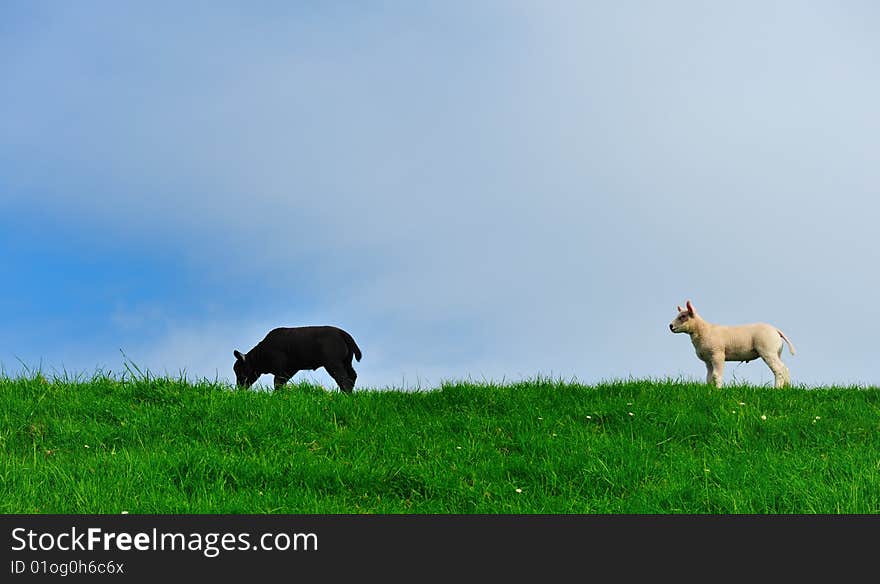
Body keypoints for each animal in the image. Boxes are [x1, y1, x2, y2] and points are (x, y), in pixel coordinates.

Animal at [232, 324, 362, 392]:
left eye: (239, 371)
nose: (239, 388)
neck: (260, 354)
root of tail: (342, 333)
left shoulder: (280, 370)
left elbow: (277, 383)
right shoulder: (289, 370)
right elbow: (281, 383)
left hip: (333, 364)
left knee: (343, 380)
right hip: (346, 363)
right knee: (352, 376)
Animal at [668, 302, 796, 388]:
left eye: (683, 316)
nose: (670, 326)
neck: (703, 330)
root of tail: (776, 330)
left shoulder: (718, 355)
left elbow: (716, 375)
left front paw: (718, 390)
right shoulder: (708, 360)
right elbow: (709, 377)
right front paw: (710, 390)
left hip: (768, 351)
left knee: (778, 370)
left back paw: (777, 389)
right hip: (776, 352)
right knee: (785, 368)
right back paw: (786, 388)